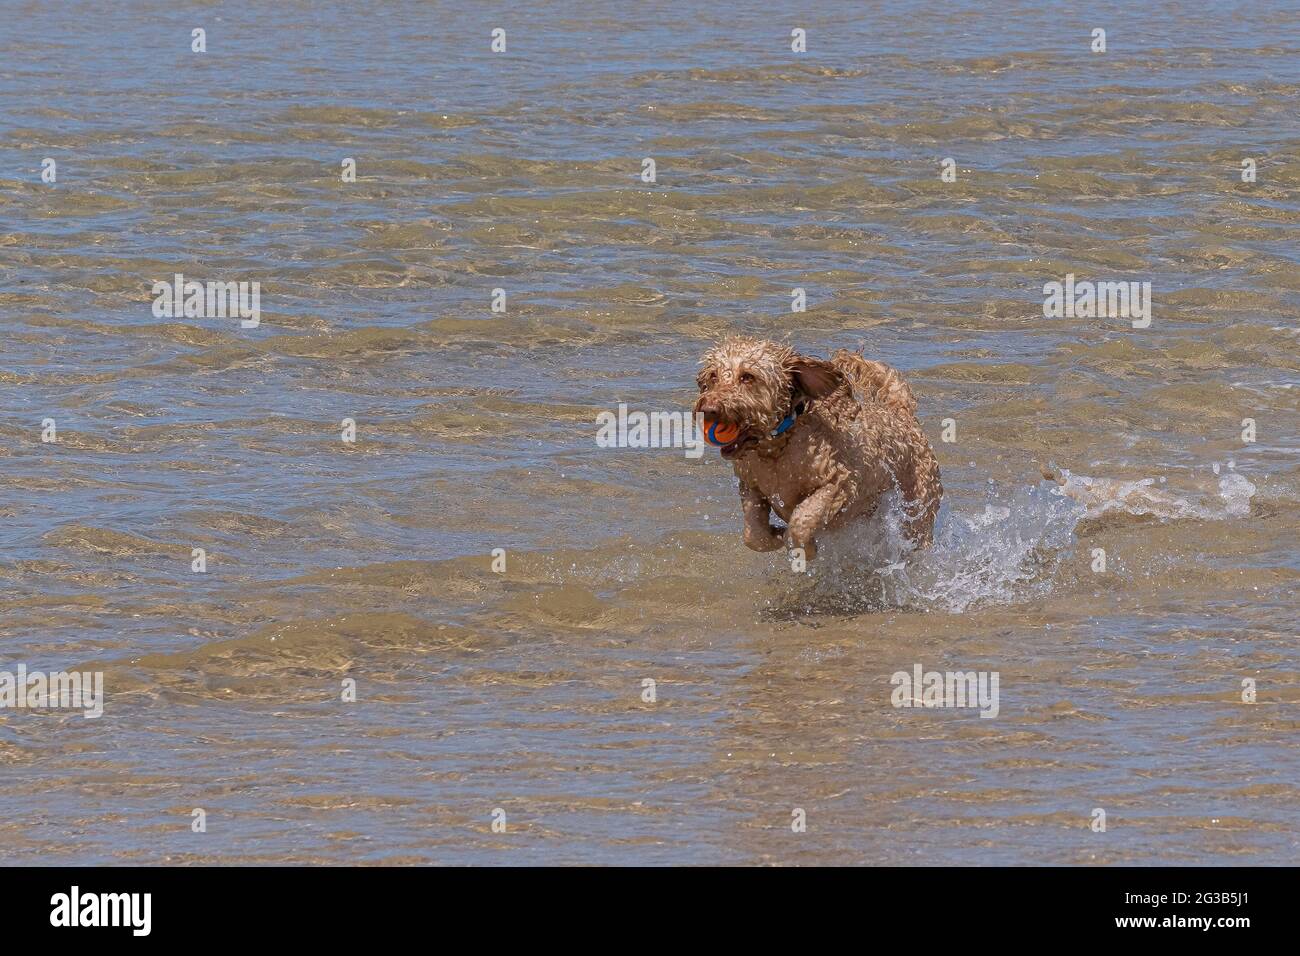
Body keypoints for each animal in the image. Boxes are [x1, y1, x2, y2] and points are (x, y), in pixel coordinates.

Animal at [696, 335, 941, 561]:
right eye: (713, 376)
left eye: (748, 376)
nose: (708, 408)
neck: (777, 449)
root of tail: (901, 413)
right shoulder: (751, 487)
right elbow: (753, 535)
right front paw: (775, 534)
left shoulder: (839, 484)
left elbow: (801, 521)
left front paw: (804, 549)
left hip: (918, 506)